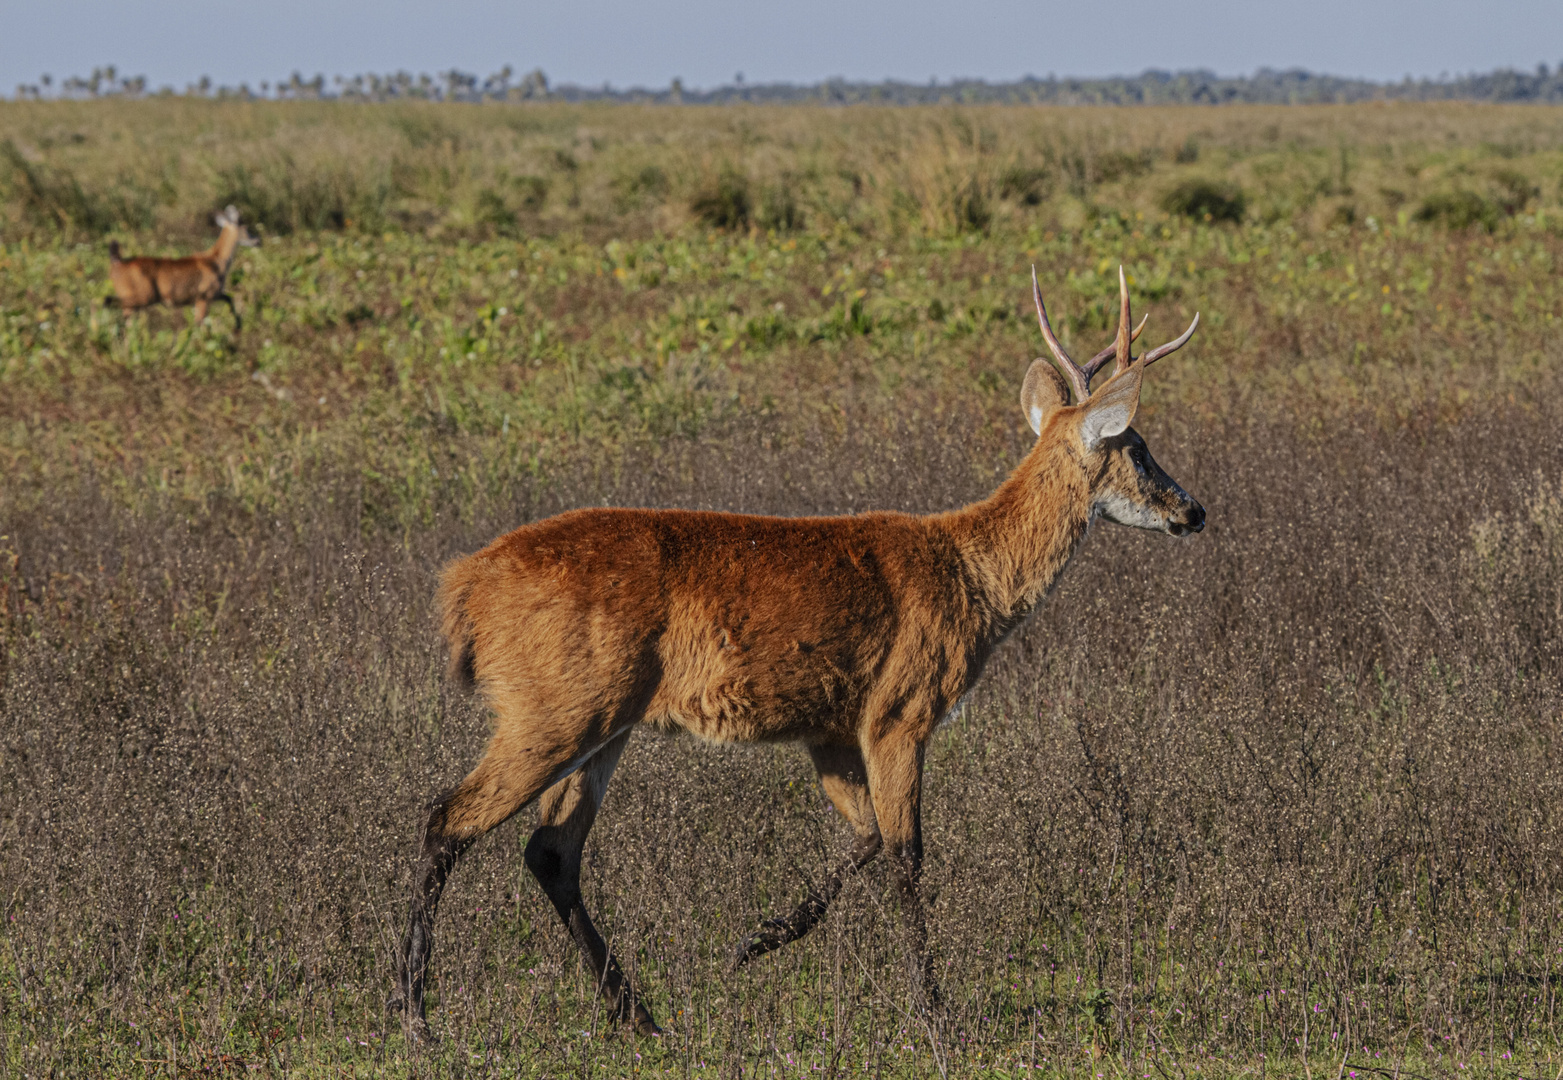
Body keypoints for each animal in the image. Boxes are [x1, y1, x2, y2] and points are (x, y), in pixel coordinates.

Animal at [103, 203, 257, 329]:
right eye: (246, 228)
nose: (257, 240)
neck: (216, 260)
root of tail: (118, 262)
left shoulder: (214, 295)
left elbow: (229, 298)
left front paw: (238, 326)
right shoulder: (203, 298)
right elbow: (199, 325)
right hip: (143, 297)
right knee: (109, 302)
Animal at [393, 265, 1206, 1044]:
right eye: (1138, 448)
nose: (1193, 510)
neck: (972, 577)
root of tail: (464, 589)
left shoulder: (833, 726)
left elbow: (866, 837)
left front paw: (753, 942)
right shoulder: (902, 708)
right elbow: (906, 853)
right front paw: (934, 1011)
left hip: (602, 718)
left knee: (552, 851)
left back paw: (638, 1015)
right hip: (554, 704)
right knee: (448, 819)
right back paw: (414, 1013)